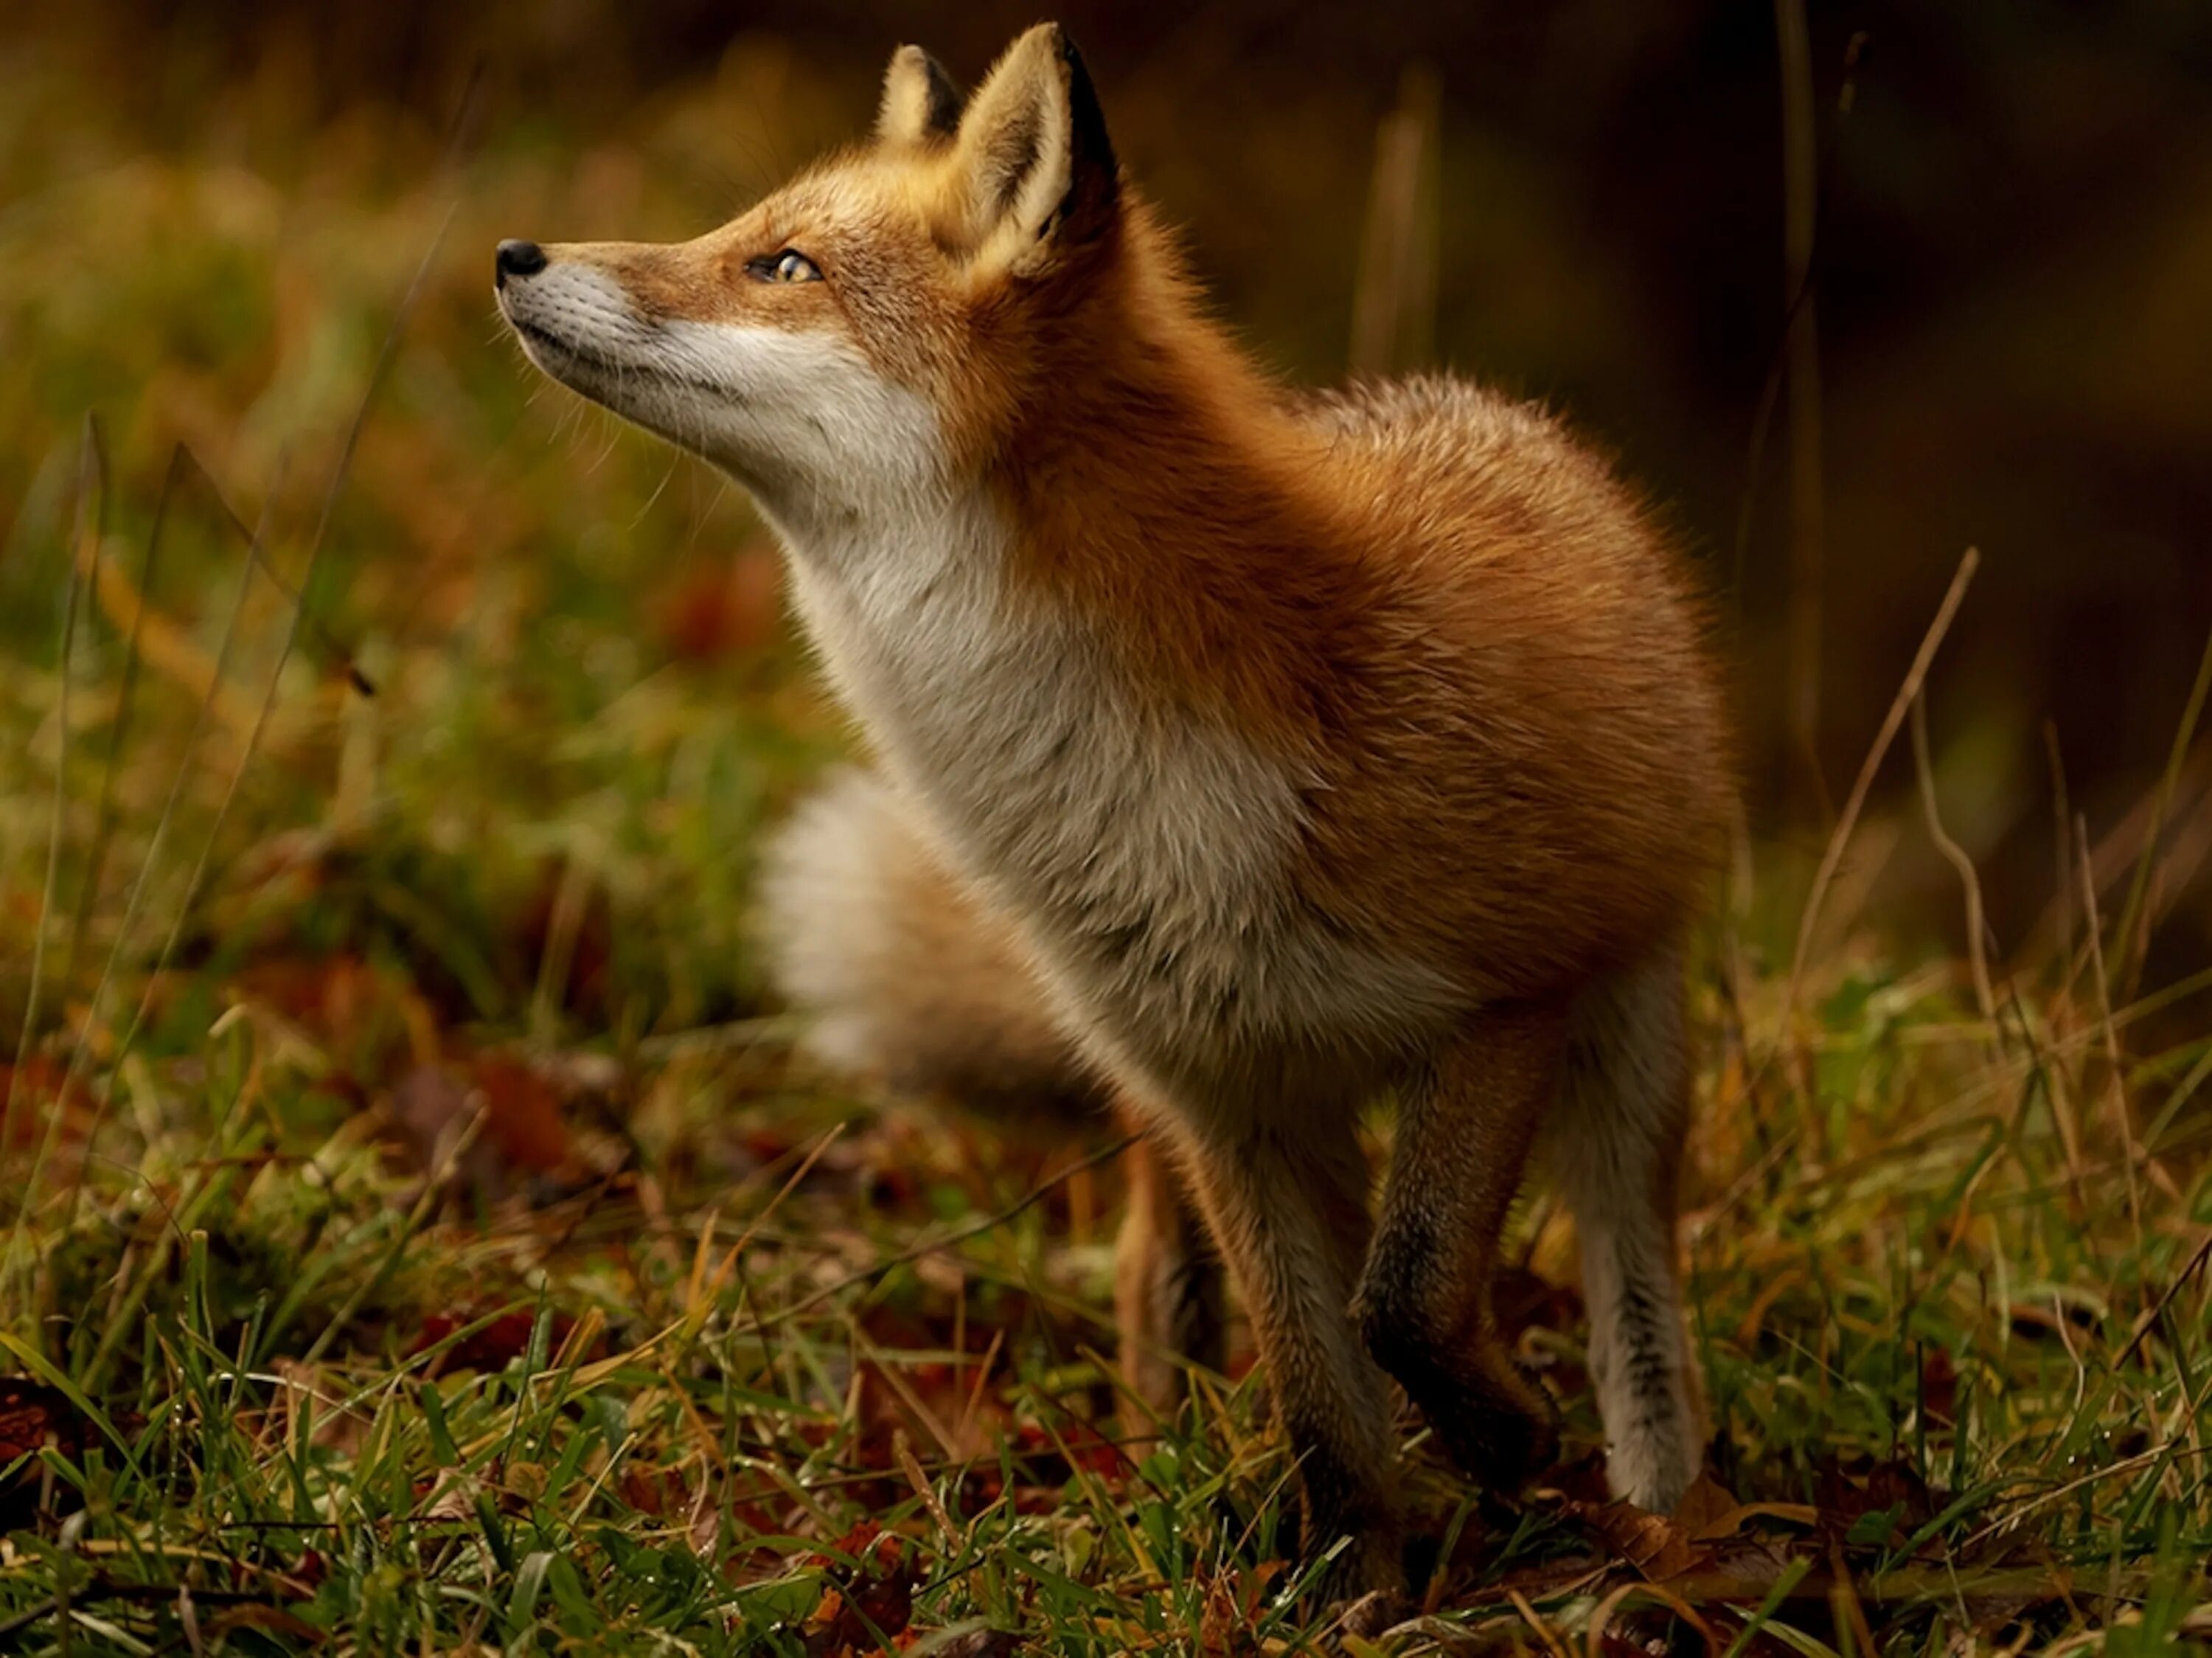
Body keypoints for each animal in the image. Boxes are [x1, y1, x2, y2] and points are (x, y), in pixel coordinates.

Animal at [498, 26, 1725, 1593]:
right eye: (750, 237)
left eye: (782, 266)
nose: (514, 252)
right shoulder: (1217, 1092)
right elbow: (1326, 1408)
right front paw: (1357, 1591)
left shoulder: (1508, 999)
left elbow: (1402, 1301)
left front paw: (1501, 1445)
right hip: (1192, 1114)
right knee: (1166, 1286)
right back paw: (1168, 1459)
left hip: (1626, 1044)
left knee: (1637, 1294)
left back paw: (1670, 1522)